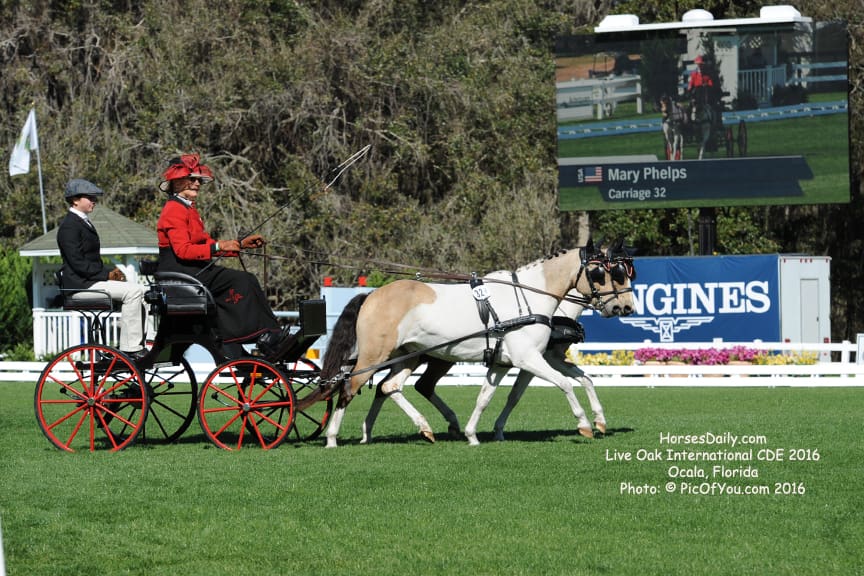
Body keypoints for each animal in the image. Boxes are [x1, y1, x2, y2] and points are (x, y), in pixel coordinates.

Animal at [300, 241, 635, 447]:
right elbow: (564, 384)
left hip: (406, 356)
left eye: (624, 271)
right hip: (373, 356)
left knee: (389, 387)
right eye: (601, 273)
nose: (625, 307)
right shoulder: (529, 359)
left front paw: (474, 435)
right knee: (348, 387)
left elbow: (487, 397)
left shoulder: (504, 362)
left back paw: (417, 428)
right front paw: (585, 424)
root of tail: (371, 294)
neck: (528, 298)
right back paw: (332, 438)